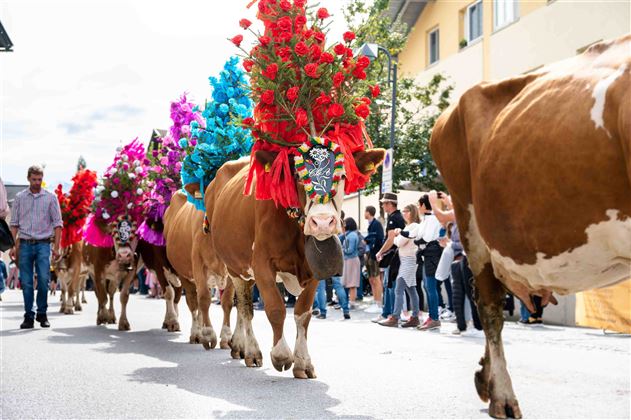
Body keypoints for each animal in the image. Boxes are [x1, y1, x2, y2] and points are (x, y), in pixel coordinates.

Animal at [209, 150, 386, 378]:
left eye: (343, 176)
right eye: (299, 176)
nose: (322, 222)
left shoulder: (315, 270)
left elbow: (303, 314)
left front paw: (303, 362)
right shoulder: (261, 264)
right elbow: (276, 308)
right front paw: (281, 355)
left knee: (240, 305)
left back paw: (239, 346)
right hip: (235, 267)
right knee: (245, 307)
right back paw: (252, 351)